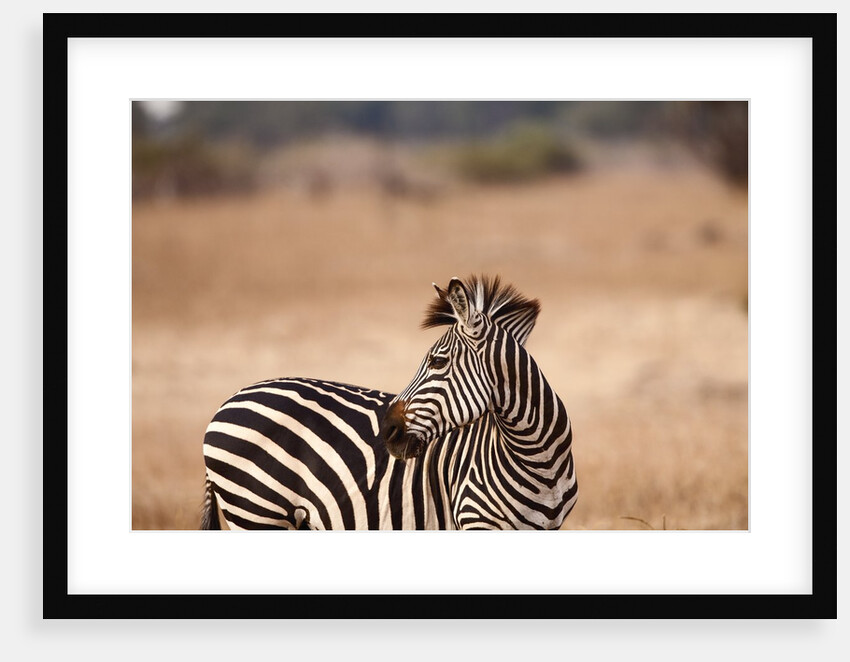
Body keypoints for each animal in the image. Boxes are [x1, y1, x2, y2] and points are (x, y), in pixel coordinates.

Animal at [201, 275, 577, 530]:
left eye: (438, 362)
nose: (387, 430)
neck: (540, 462)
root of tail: (228, 401)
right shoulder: (475, 520)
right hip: (255, 511)